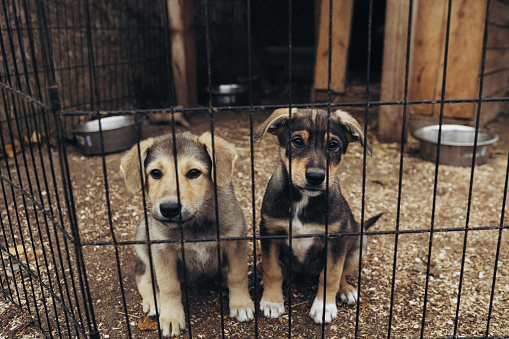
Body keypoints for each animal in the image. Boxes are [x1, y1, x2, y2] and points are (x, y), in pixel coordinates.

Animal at [119, 132, 254, 338]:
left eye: (193, 173)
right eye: (155, 173)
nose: (169, 208)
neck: (194, 224)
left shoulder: (235, 241)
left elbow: (238, 276)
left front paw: (241, 304)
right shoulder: (162, 251)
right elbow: (169, 287)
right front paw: (171, 317)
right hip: (144, 241)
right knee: (143, 277)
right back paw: (153, 301)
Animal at [256, 108, 380, 324]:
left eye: (333, 145)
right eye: (297, 141)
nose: (315, 177)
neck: (303, 199)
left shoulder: (336, 239)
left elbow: (331, 275)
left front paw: (324, 307)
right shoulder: (269, 230)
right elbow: (271, 269)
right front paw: (272, 301)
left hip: (360, 243)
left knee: (342, 273)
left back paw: (346, 290)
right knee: (282, 268)